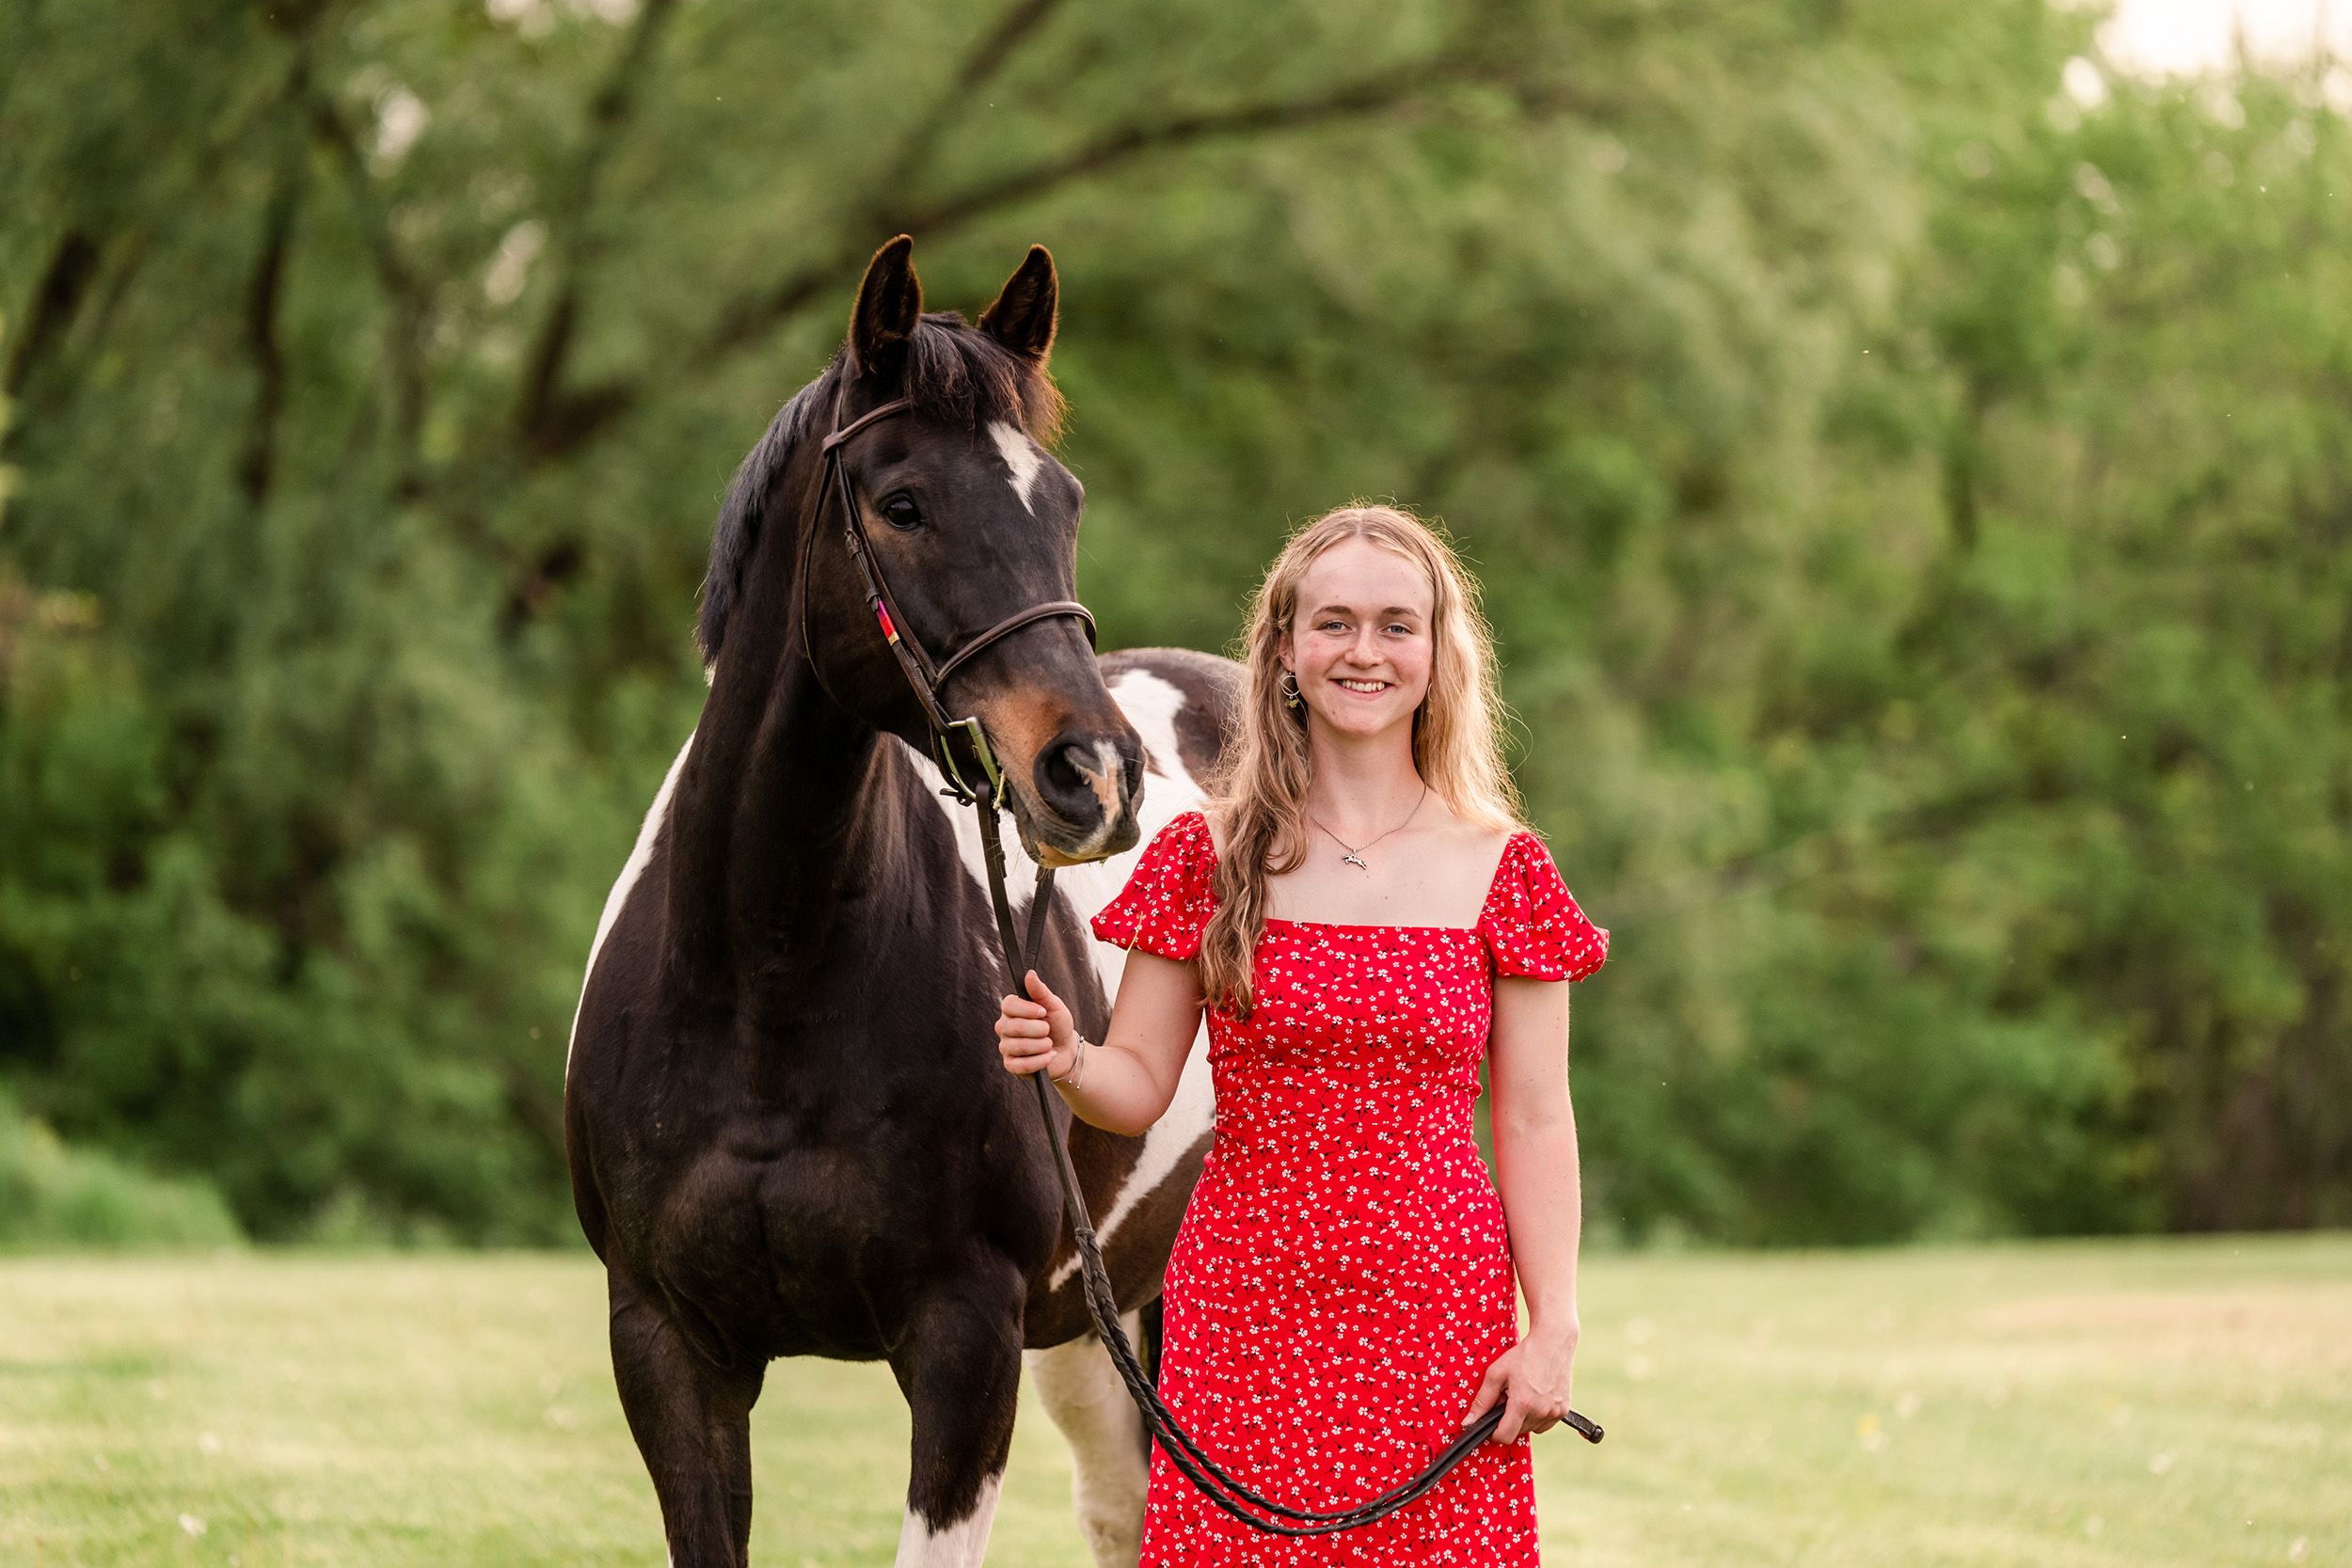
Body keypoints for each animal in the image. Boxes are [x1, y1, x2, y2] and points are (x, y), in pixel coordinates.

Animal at [563, 234, 1236, 1568]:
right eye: (903, 502)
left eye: (1063, 500)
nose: (1093, 773)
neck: (767, 978)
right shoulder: (666, 1345)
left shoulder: (964, 1343)